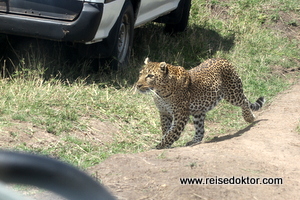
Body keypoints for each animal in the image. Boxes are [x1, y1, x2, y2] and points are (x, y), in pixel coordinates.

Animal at [136, 57, 264, 149]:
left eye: (150, 76)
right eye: (140, 73)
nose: (138, 85)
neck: (160, 92)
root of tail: (223, 59)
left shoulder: (181, 115)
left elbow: (171, 133)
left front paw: (159, 146)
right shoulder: (164, 113)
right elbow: (165, 130)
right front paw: (165, 145)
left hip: (232, 93)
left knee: (244, 101)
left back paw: (249, 118)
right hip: (198, 111)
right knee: (200, 129)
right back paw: (194, 141)